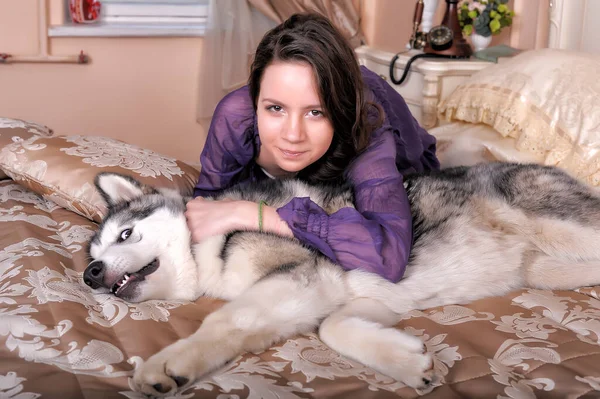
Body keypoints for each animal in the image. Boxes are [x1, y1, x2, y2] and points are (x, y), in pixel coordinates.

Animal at [85, 162, 600, 396]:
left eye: (126, 233)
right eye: (94, 253)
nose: (90, 273)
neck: (205, 241)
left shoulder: (303, 279)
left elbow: (224, 323)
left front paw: (170, 363)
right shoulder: (355, 296)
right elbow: (333, 328)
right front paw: (406, 361)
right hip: (549, 270)